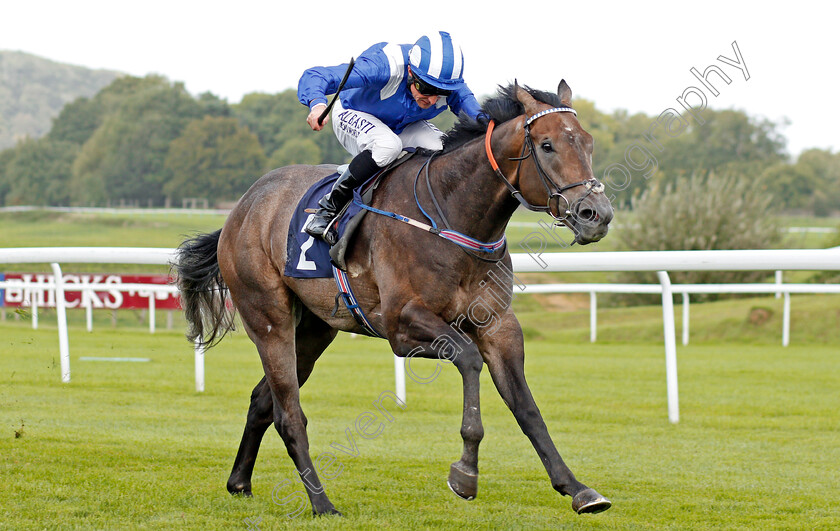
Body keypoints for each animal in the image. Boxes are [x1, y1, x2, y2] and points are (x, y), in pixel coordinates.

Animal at [177, 81, 612, 516]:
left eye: (588, 142)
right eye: (547, 145)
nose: (597, 214)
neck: (452, 217)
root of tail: (243, 207)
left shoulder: (499, 326)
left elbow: (527, 408)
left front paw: (577, 488)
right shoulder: (403, 326)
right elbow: (469, 358)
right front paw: (465, 473)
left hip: (315, 331)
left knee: (262, 401)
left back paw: (240, 482)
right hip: (269, 319)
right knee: (289, 414)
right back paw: (322, 503)